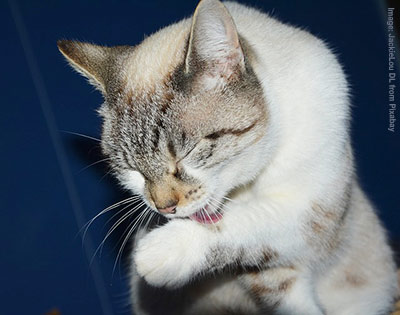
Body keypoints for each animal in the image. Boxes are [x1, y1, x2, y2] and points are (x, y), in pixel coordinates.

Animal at [57, 0, 398, 315]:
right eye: (132, 170)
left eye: (187, 152)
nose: (163, 208)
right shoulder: (272, 276)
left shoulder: (314, 212)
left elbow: (244, 223)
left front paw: (161, 251)